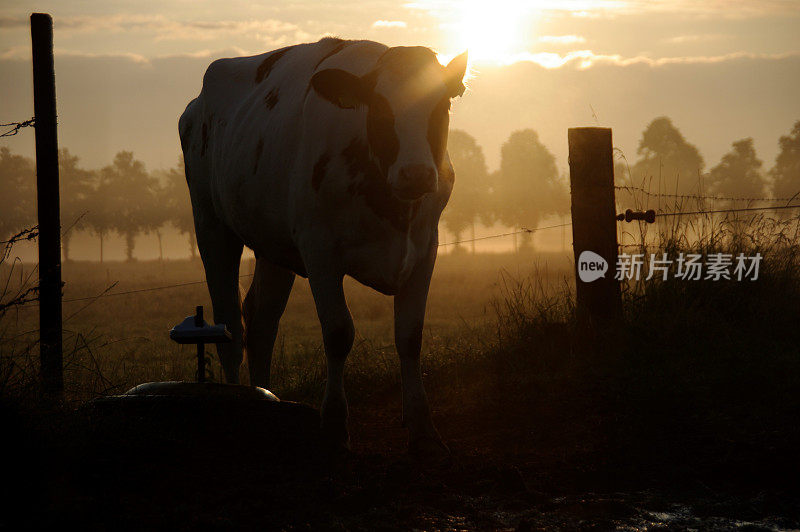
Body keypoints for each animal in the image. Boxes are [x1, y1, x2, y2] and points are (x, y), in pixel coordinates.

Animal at [180, 36, 468, 458]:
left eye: (443, 104)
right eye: (379, 107)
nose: (416, 174)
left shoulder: (424, 249)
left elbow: (410, 336)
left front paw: (423, 431)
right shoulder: (319, 251)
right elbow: (338, 332)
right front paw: (333, 427)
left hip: (272, 244)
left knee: (261, 319)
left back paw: (263, 401)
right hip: (211, 224)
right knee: (229, 322)